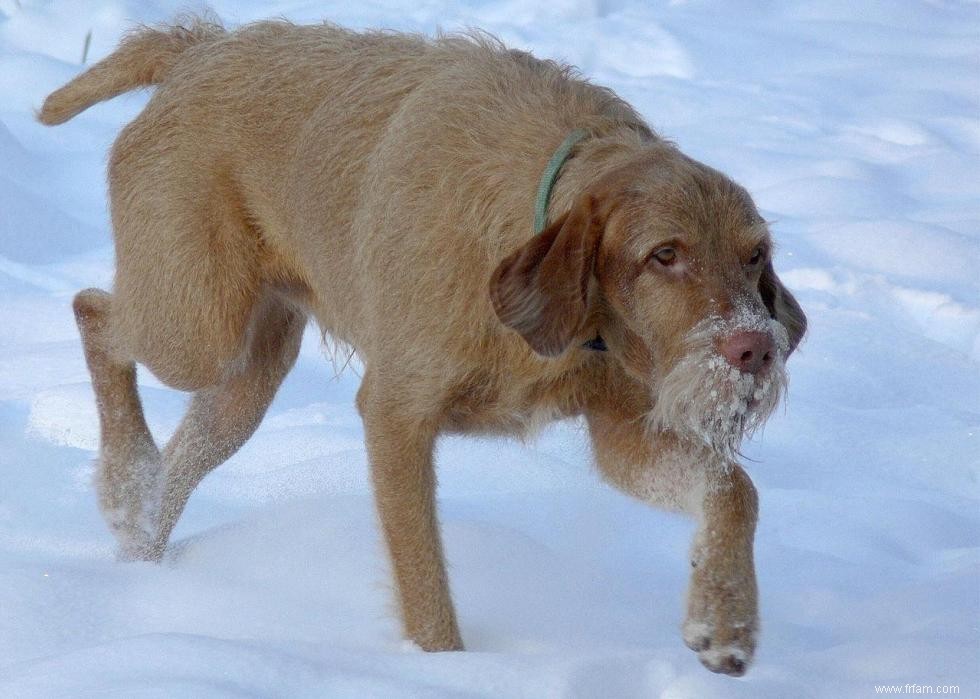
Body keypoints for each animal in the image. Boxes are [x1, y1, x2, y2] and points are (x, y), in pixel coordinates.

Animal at [38, 16, 804, 676]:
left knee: (188, 450)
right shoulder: (397, 415)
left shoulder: (622, 429)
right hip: (196, 323)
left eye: (755, 256)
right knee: (94, 312)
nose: (755, 349)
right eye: (664, 255)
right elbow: (423, 576)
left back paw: (140, 541)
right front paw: (445, 672)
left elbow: (732, 488)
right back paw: (126, 478)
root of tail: (197, 49)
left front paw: (725, 619)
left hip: (249, 378)